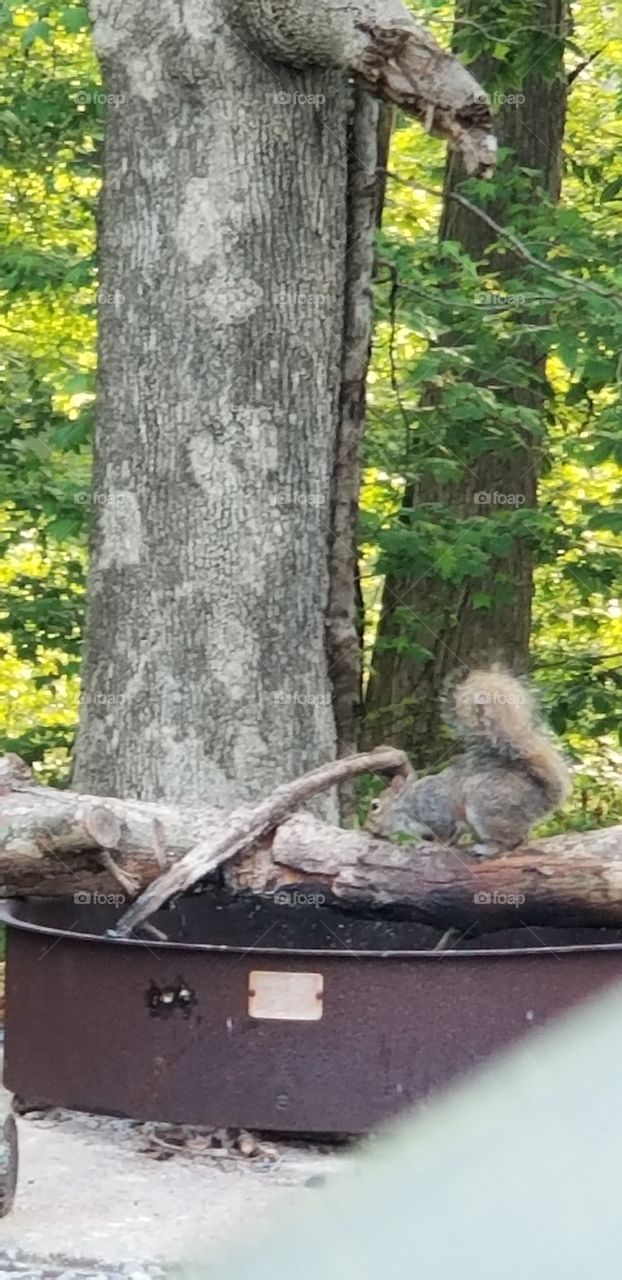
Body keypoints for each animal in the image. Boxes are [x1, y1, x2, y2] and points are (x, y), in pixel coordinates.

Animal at [366, 668, 570, 856]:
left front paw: (433, 846)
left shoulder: (436, 811)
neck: (402, 806)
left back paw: (486, 848)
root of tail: (542, 798)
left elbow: (445, 833)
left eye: (375, 806)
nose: (367, 829)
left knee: (514, 840)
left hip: (485, 806)